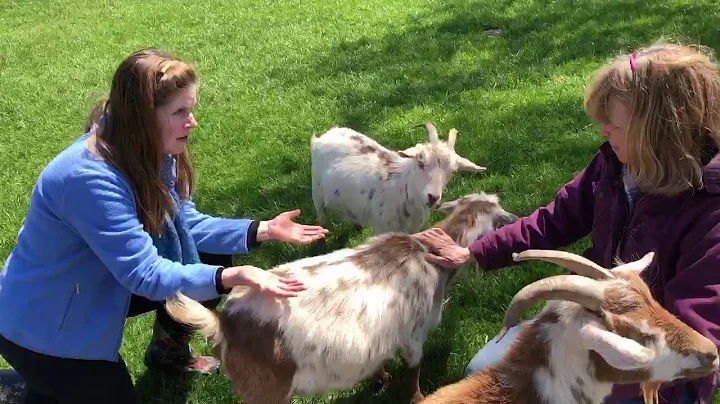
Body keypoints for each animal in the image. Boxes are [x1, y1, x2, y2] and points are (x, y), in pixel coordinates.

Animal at [164, 191, 516, 402]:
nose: (514, 218)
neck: (427, 255)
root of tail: (224, 323)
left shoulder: (384, 334)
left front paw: (380, 379)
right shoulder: (414, 336)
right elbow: (414, 371)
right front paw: (418, 397)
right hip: (265, 390)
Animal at [310, 123, 490, 234]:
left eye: (452, 171)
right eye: (420, 163)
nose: (433, 198)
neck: (402, 188)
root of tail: (324, 135)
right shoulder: (382, 227)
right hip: (316, 191)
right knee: (321, 215)